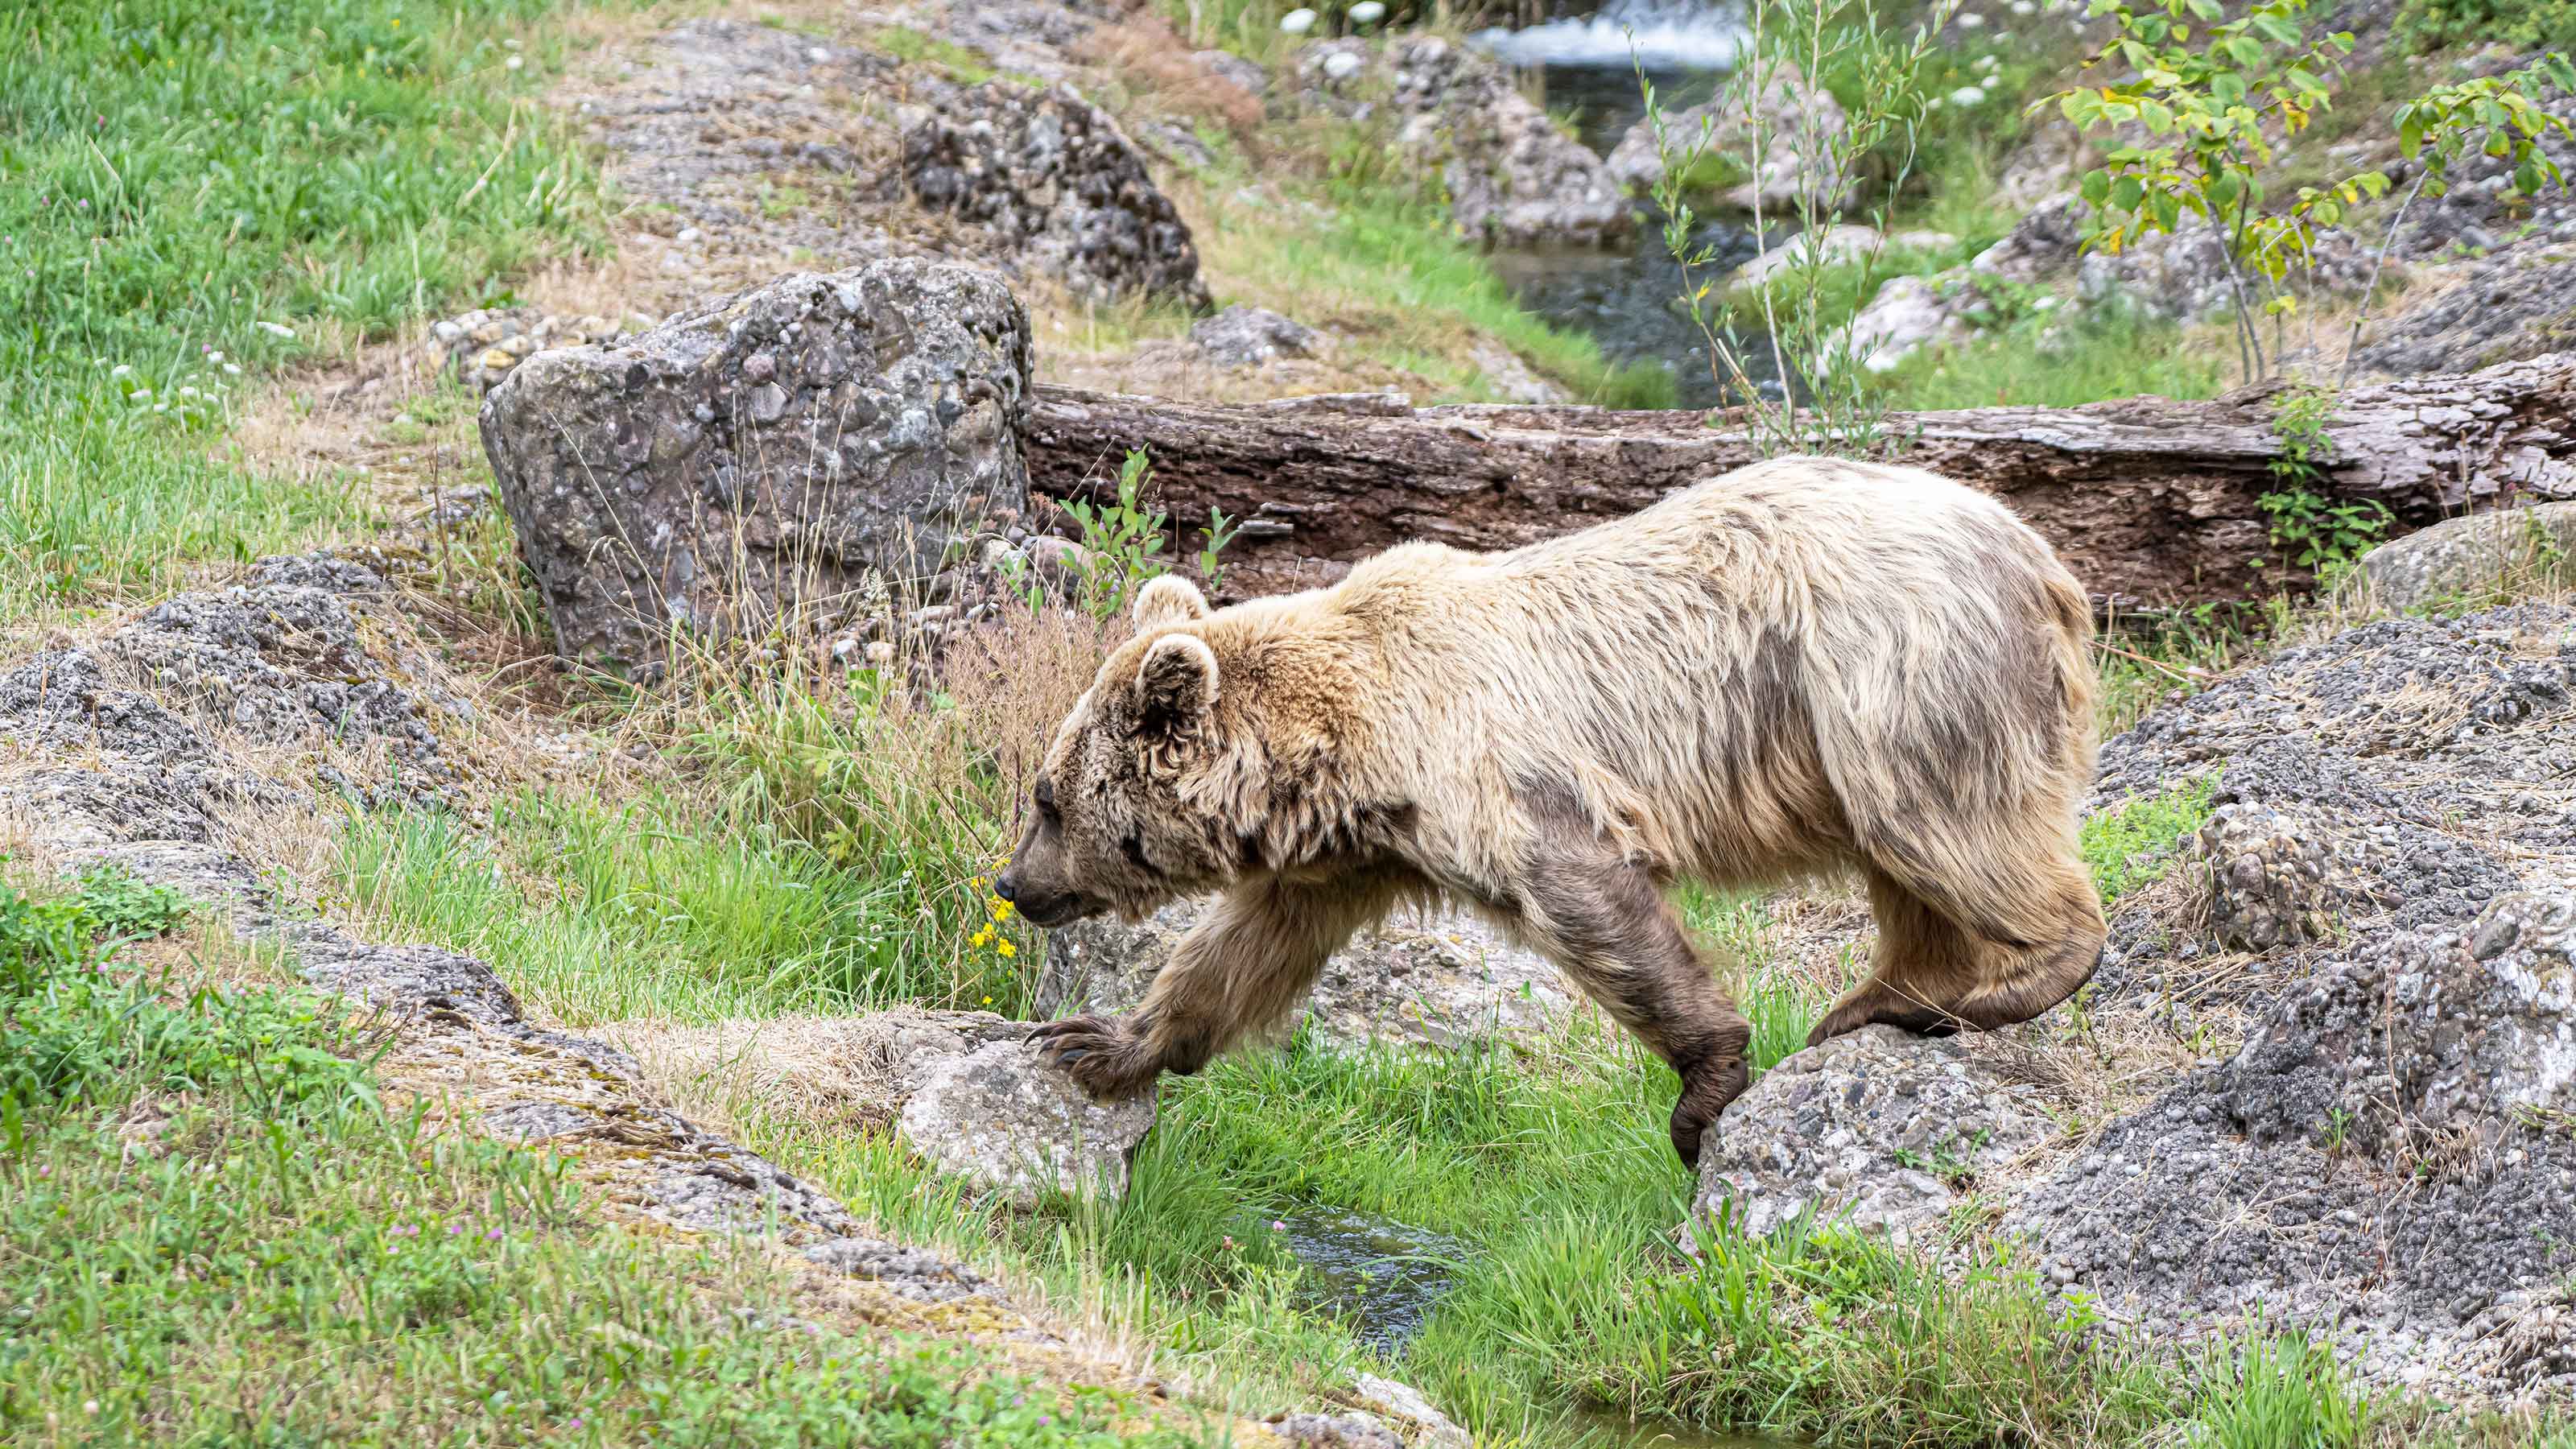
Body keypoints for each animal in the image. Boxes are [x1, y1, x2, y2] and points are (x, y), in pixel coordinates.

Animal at [994, 451, 2102, 1160]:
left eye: (1046, 798)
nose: (1012, 883)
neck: (1347, 753)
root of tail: (2043, 557)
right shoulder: (1358, 853)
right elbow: (1245, 951)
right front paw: (1098, 1044)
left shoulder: (1494, 779)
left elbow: (1592, 904)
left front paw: (1701, 1095)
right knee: (1907, 865)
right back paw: (1885, 997)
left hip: (1885, 675)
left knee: (1940, 825)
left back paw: (2008, 975)